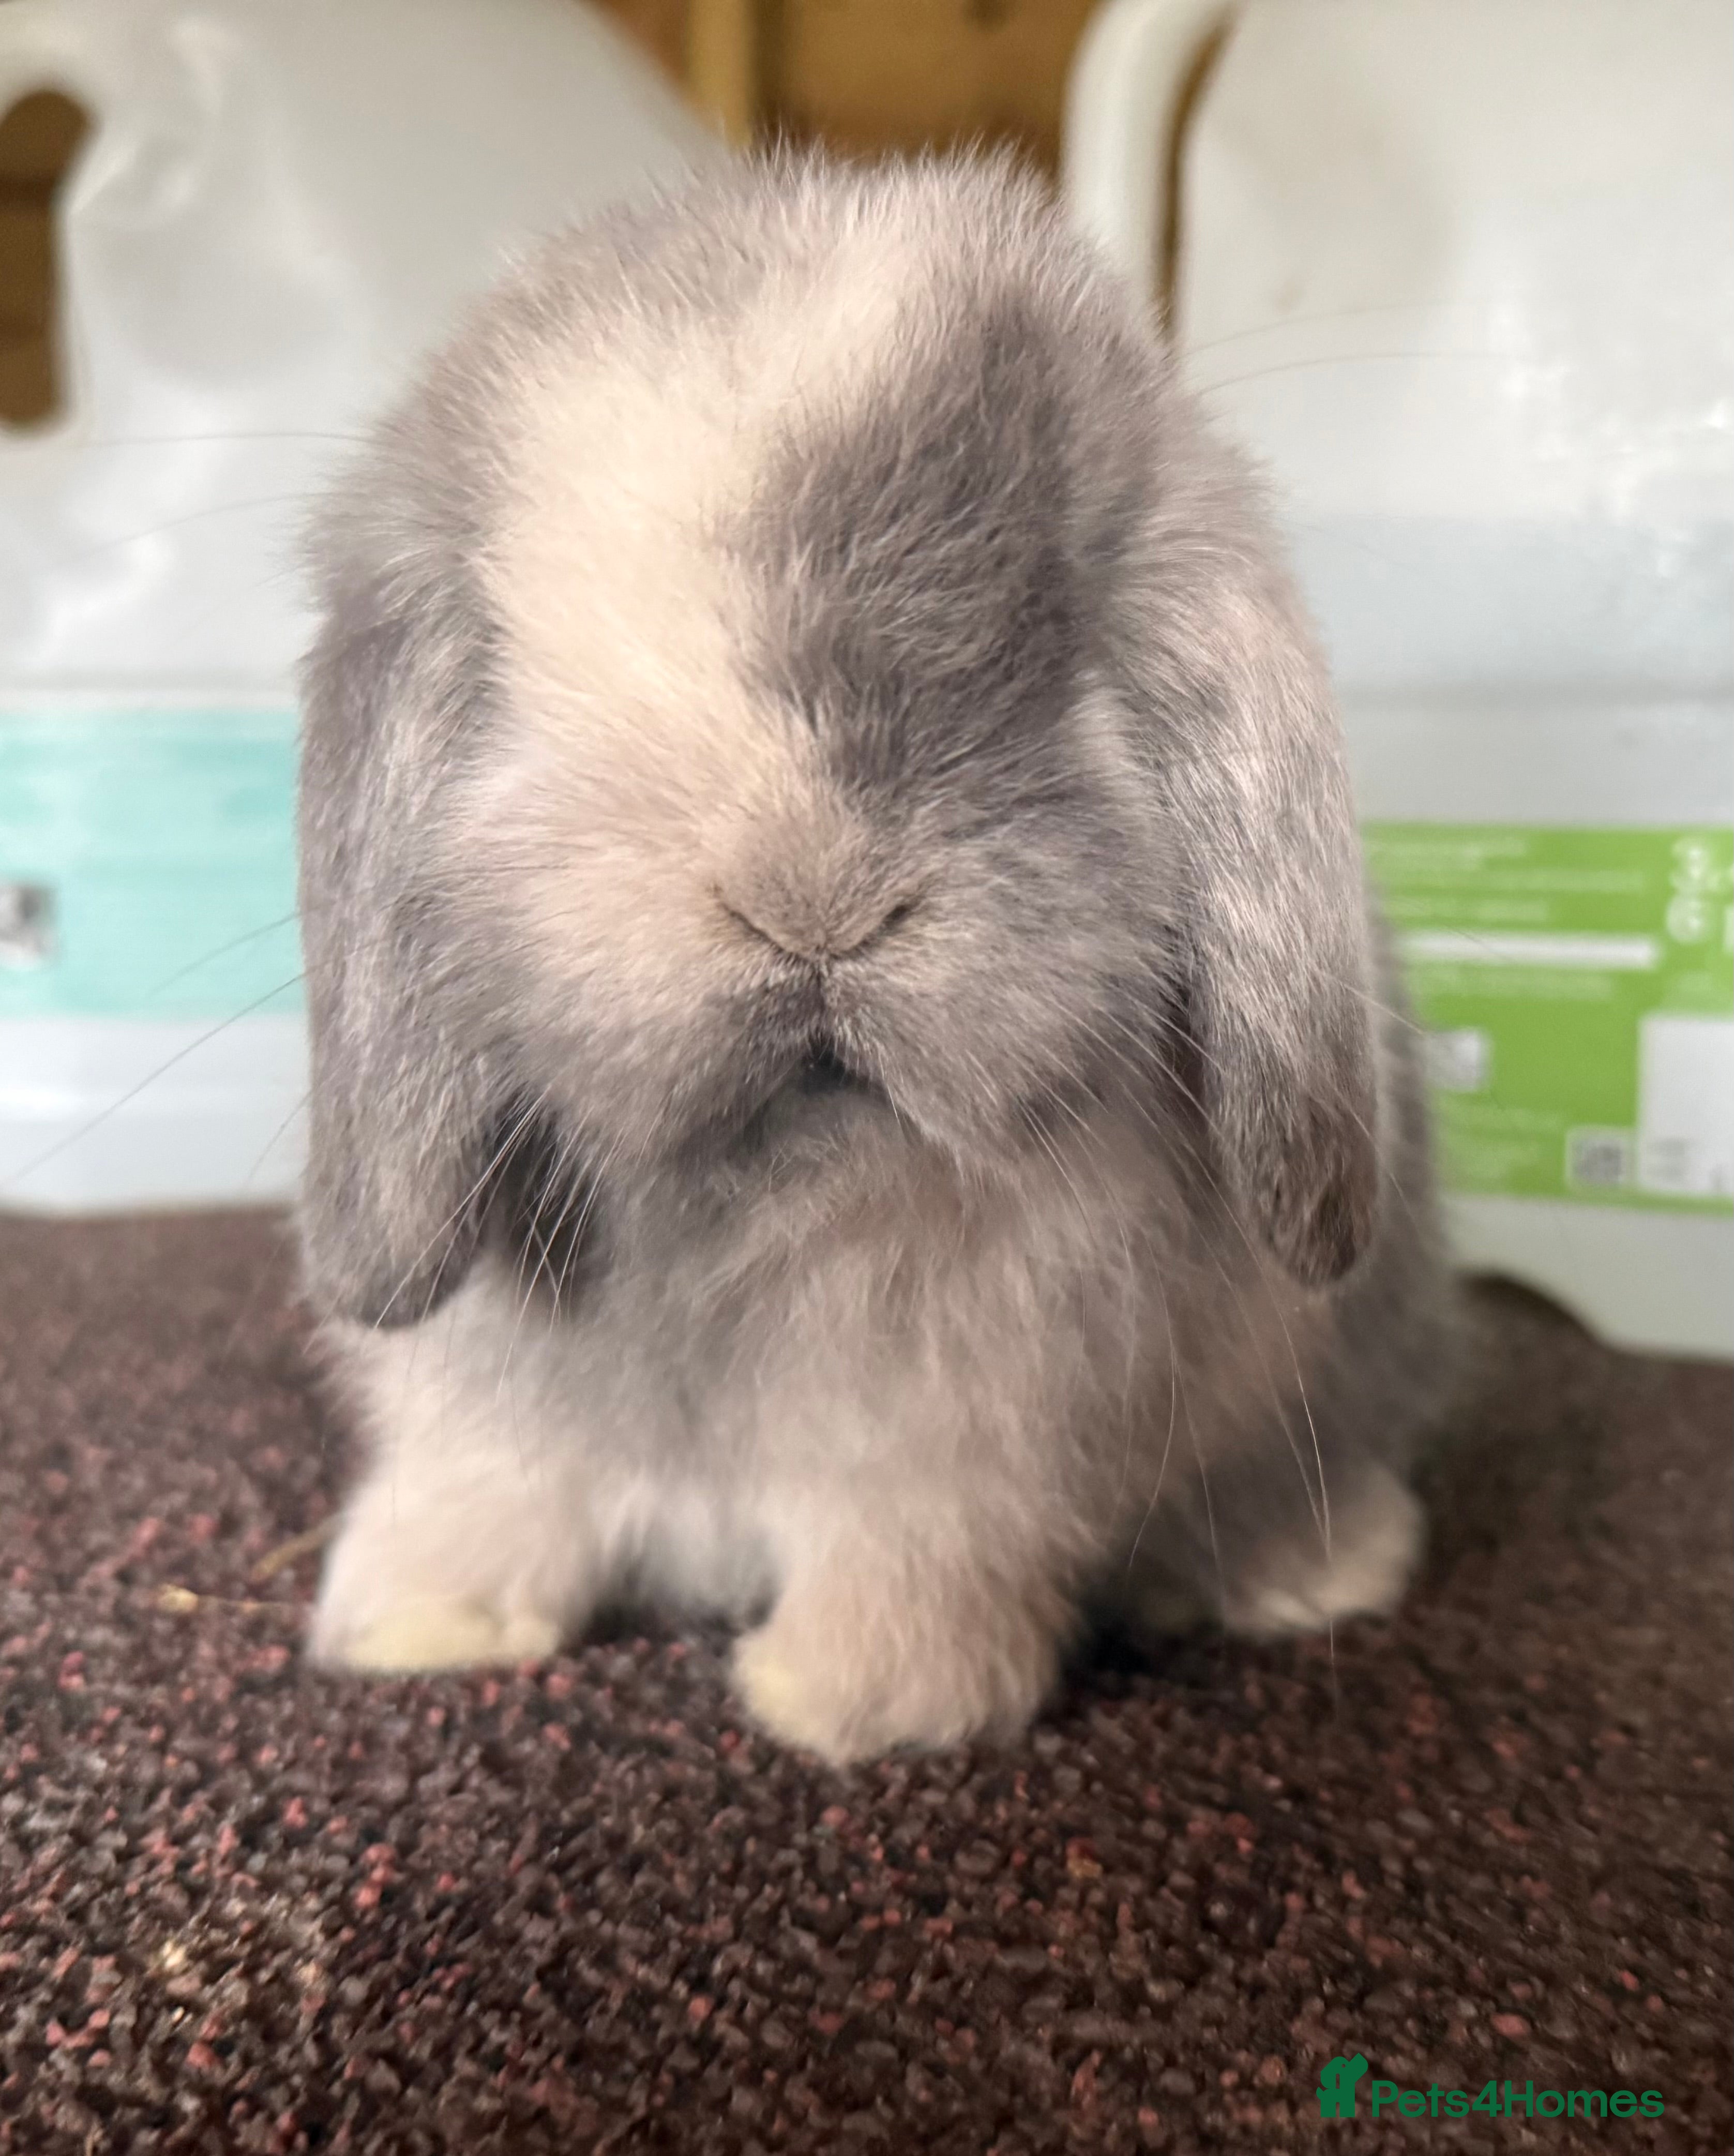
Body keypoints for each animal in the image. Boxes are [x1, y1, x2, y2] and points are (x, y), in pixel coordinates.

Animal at [297, 151, 1460, 1764]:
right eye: (511, 673)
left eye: (1083, 662)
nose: (814, 894)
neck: (779, 1188)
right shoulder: (488, 1395)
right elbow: (492, 1484)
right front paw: (417, 1626)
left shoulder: (973, 1433)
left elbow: (912, 1539)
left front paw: (853, 1703)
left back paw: (1303, 1577)